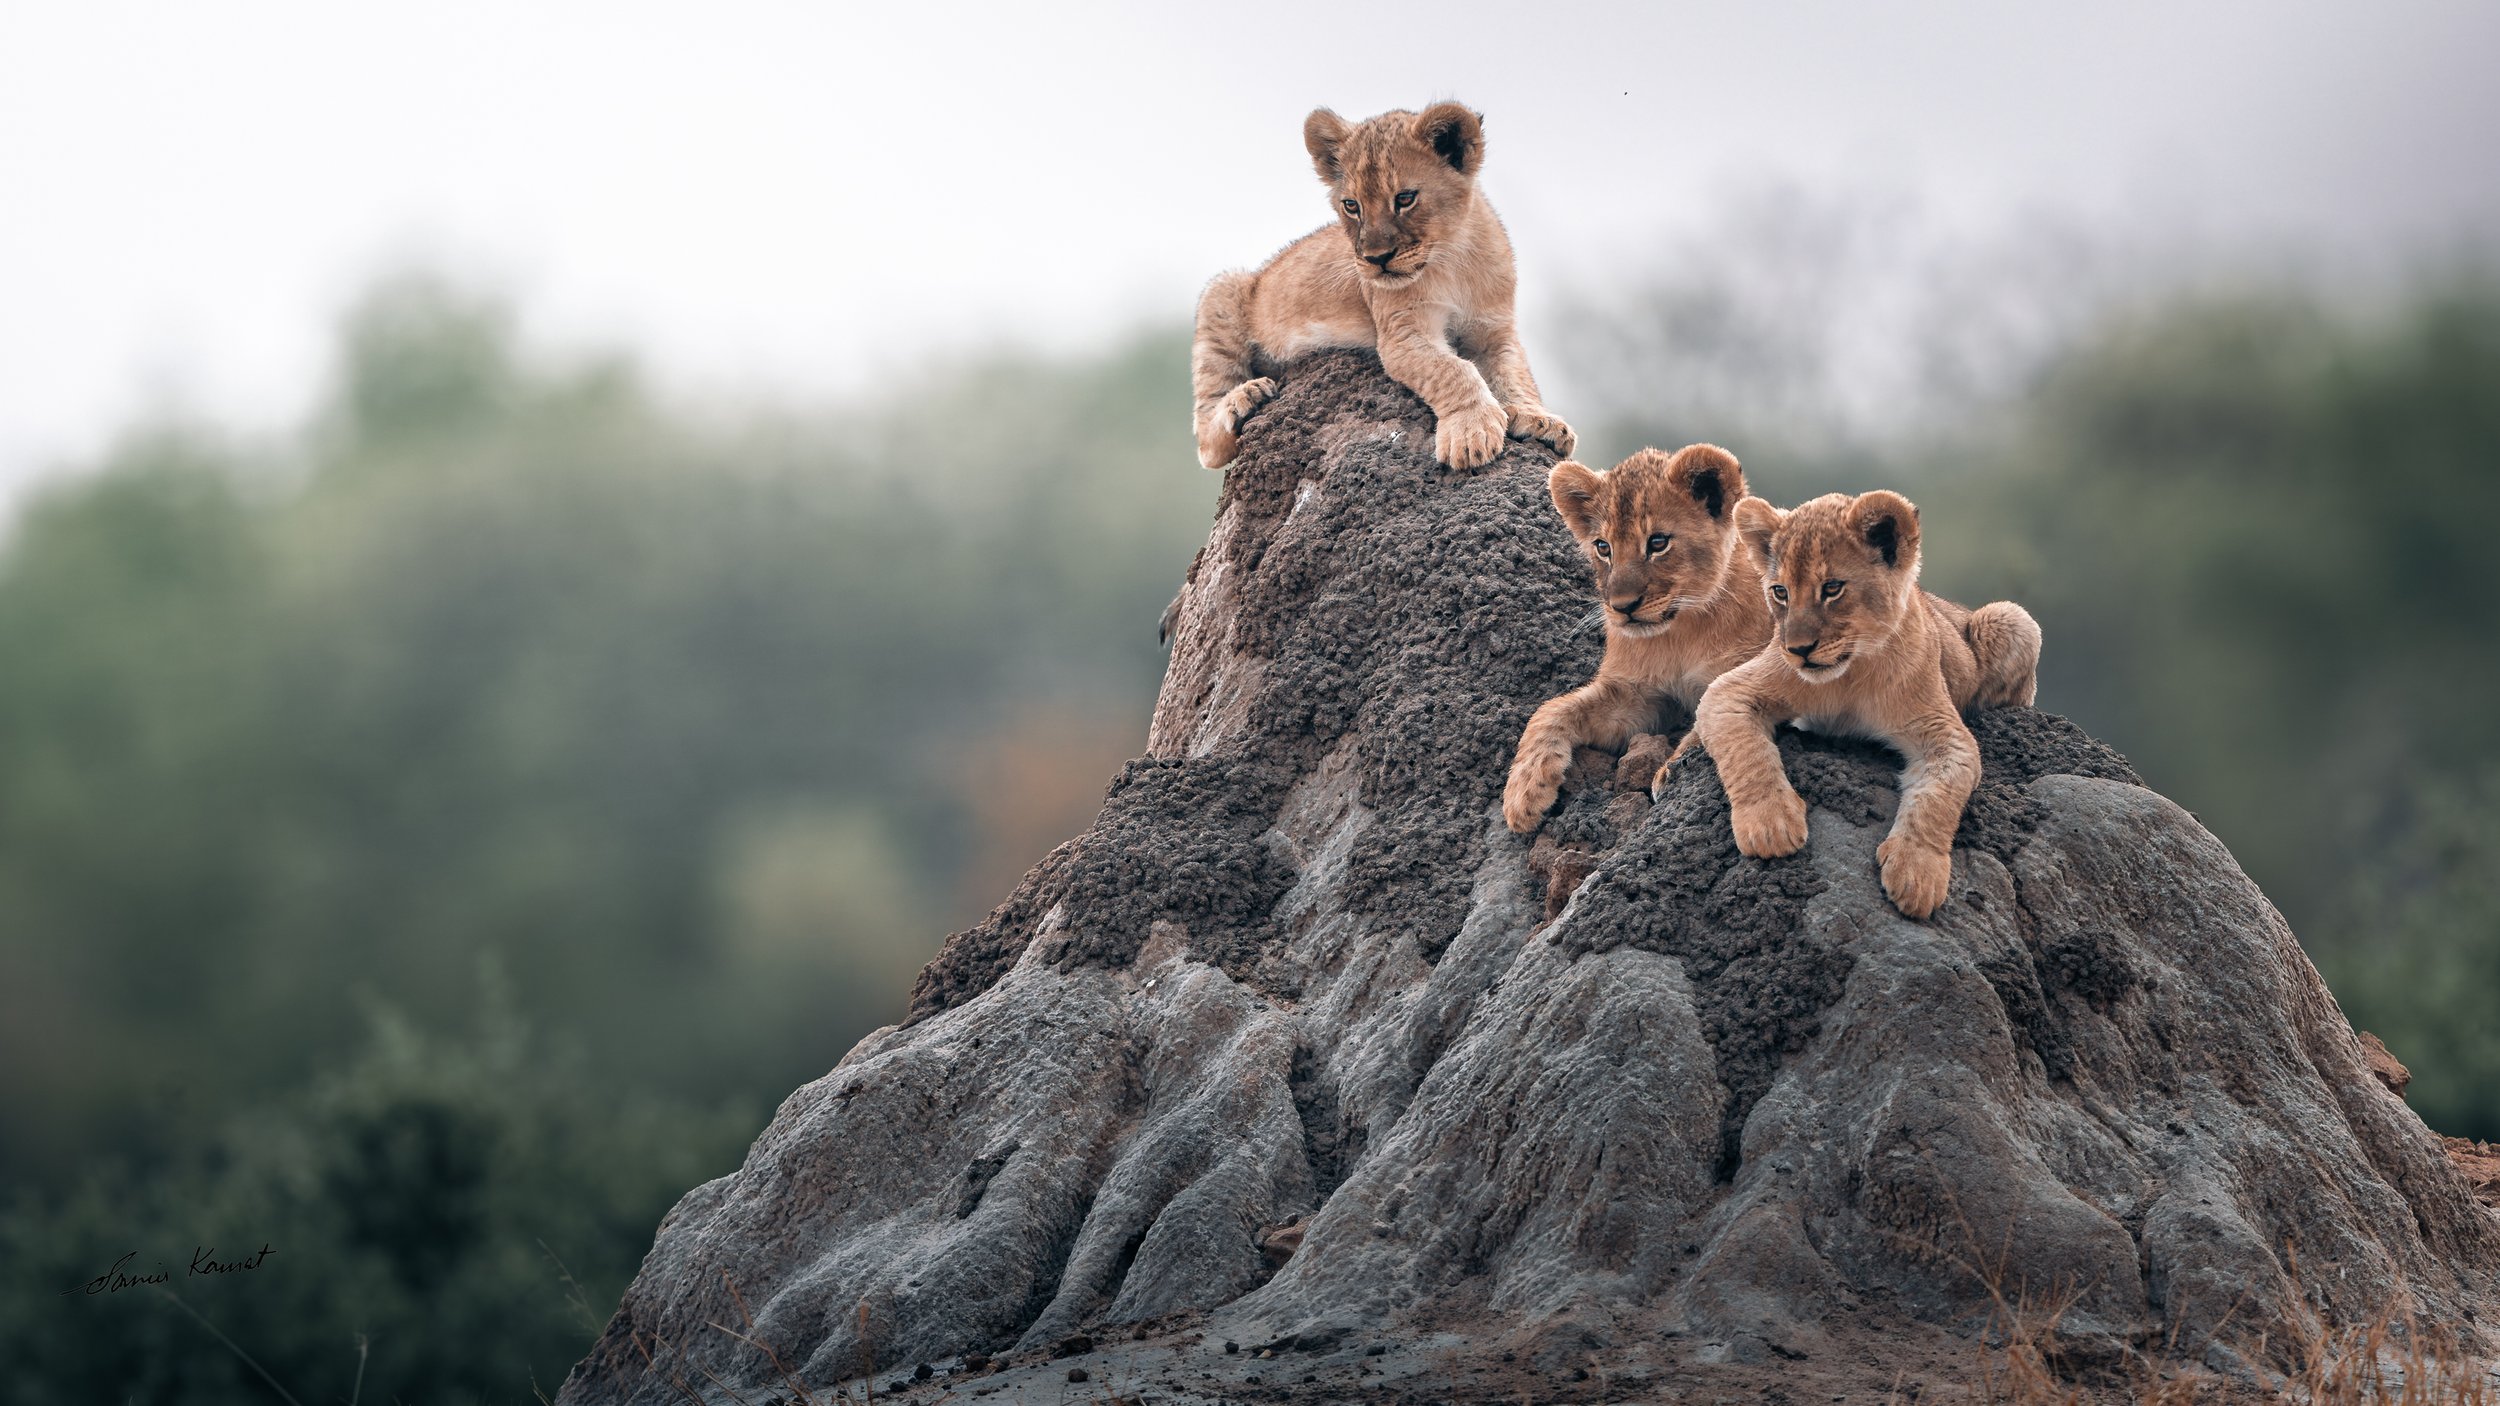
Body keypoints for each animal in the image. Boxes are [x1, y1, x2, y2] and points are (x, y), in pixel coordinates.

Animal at [1191, 102, 1573, 473]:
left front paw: (1540, 420)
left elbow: (1516, 376)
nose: (1377, 259)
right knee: (1209, 443)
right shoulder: (1402, 334)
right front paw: (1470, 432)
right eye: (1351, 205)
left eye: (1405, 198)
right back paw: (1245, 398)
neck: (1453, 257)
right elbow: (1454, 371)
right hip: (1222, 292)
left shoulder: (1495, 331)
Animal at [1502, 444, 1773, 833]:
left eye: (1658, 542)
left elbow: (1711, 718)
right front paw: (1522, 793)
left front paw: (1671, 772)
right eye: (1603, 547)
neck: (1680, 633)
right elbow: (1553, 708)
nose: (1622, 607)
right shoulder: (1639, 697)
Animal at [1691, 490, 2041, 919]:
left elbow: (1938, 797)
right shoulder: (1731, 690)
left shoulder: (1944, 733)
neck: (1850, 676)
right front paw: (1769, 824)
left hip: (2011, 618)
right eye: (1780, 592)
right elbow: (1746, 752)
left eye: (1832, 588)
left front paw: (1916, 874)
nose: (1799, 650)